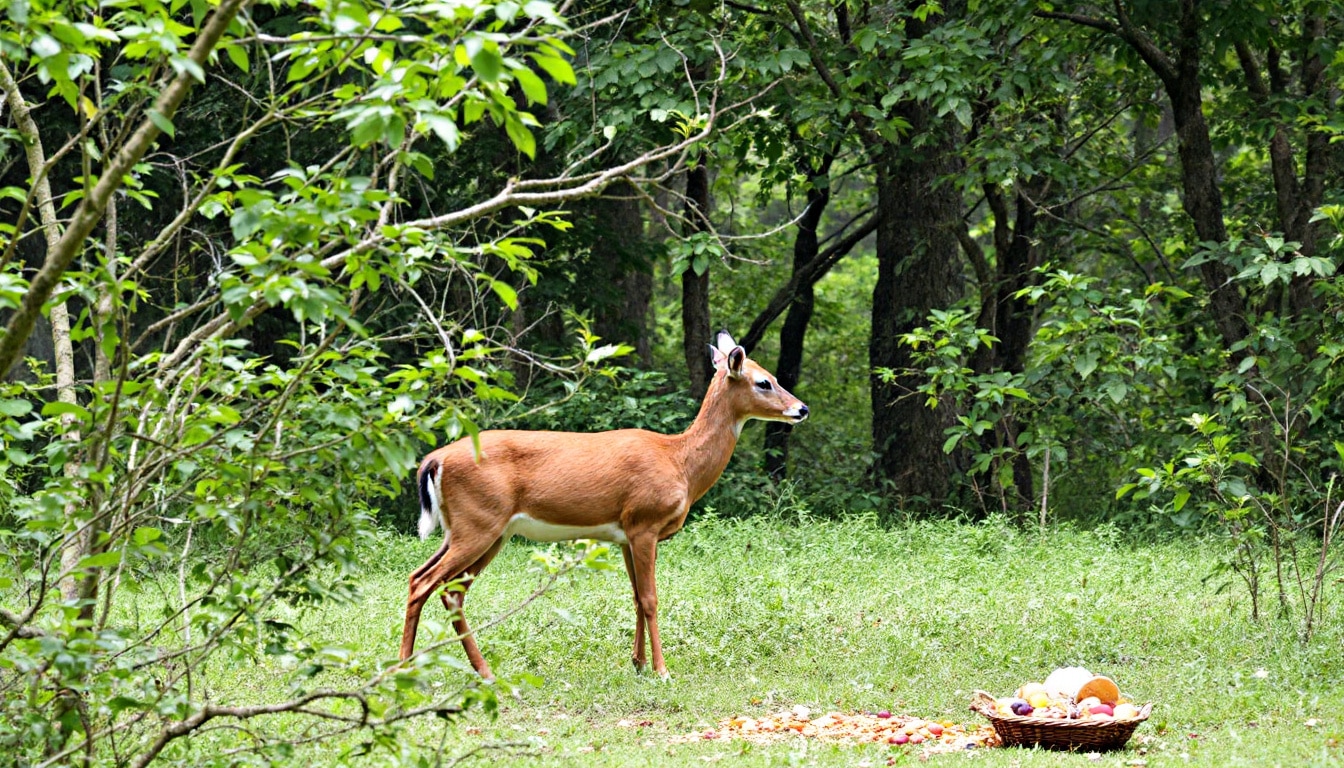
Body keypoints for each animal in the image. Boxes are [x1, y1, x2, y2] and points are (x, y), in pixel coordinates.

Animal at [400, 330, 806, 677]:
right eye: (764, 381)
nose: (802, 409)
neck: (680, 462)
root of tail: (434, 460)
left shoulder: (627, 532)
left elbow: (636, 596)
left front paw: (637, 663)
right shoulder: (645, 523)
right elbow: (651, 598)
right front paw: (662, 670)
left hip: (474, 529)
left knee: (441, 586)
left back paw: (477, 670)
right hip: (479, 523)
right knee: (426, 583)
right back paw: (406, 667)